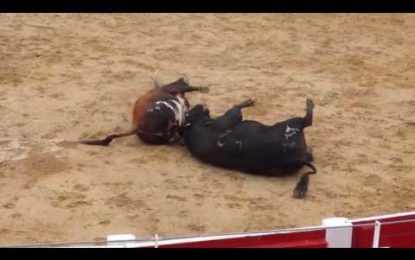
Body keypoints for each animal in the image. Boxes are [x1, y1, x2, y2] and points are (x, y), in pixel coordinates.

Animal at [180, 98, 316, 198]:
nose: (200, 104)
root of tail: (298, 158)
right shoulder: (229, 118)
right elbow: (235, 110)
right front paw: (248, 102)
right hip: (293, 123)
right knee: (307, 120)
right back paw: (310, 102)